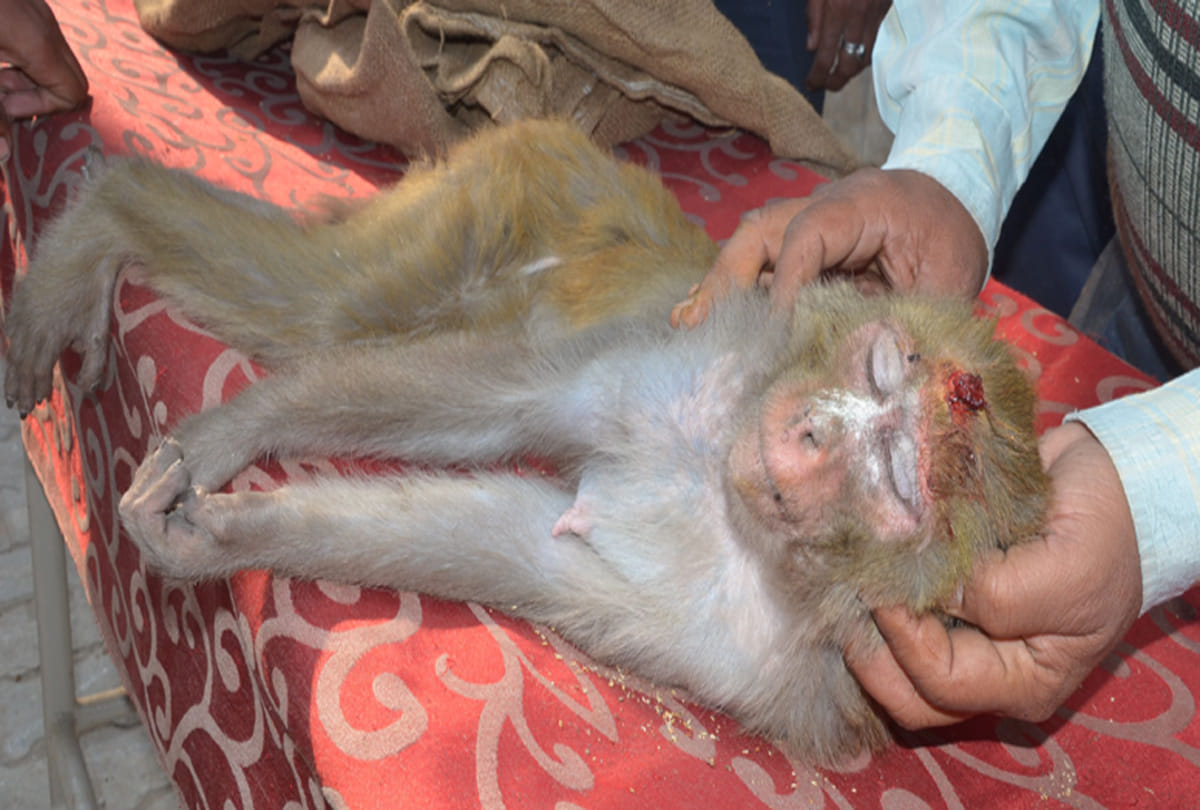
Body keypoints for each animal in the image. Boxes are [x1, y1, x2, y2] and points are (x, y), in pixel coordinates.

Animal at [2, 119, 1048, 766]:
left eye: (896, 478)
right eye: (880, 371)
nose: (809, 430)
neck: (726, 496)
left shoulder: (742, 650)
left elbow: (517, 544)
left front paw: (226, 536)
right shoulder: (698, 356)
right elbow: (512, 398)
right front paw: (229, 435)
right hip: (511, 189)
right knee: (336, 306)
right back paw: (101, 217)